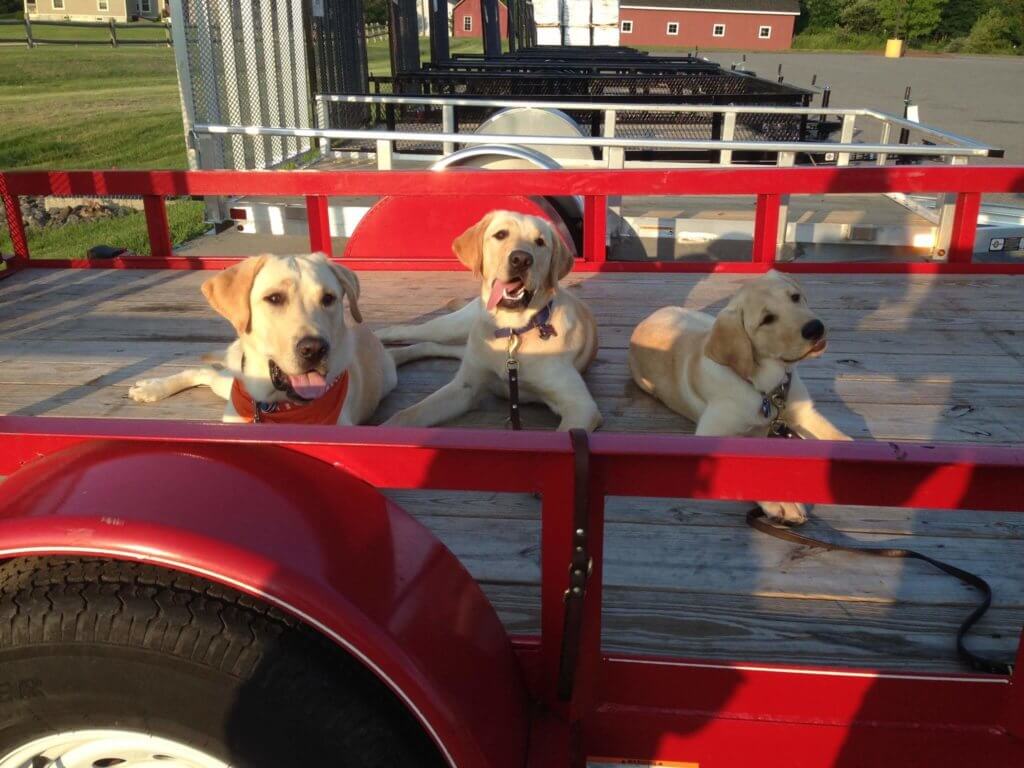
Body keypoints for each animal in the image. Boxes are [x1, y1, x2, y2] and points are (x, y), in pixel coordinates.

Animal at [129, 256, 399, 430]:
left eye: (328, 298)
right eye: (274, 298)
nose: (314, 349)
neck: (277, 408)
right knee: (205, 372)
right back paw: (152, 387)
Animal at [378, 210, 602, 434]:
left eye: (540, 242)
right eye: (500, 234)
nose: (521, 259)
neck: (511, 330)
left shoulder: (580, 406)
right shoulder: (465, 387)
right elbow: (406, 414)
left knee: (432, 345)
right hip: (453, 328)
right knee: (411, 331)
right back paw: (381, 338)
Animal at [630, 268, 847, 524]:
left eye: (795, 297)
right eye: (767, 320)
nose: (815, 328)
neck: (766, 387)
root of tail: (647, 318)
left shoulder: (804, 413)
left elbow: (840, 439)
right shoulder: (710, 435)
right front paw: (781, 502)